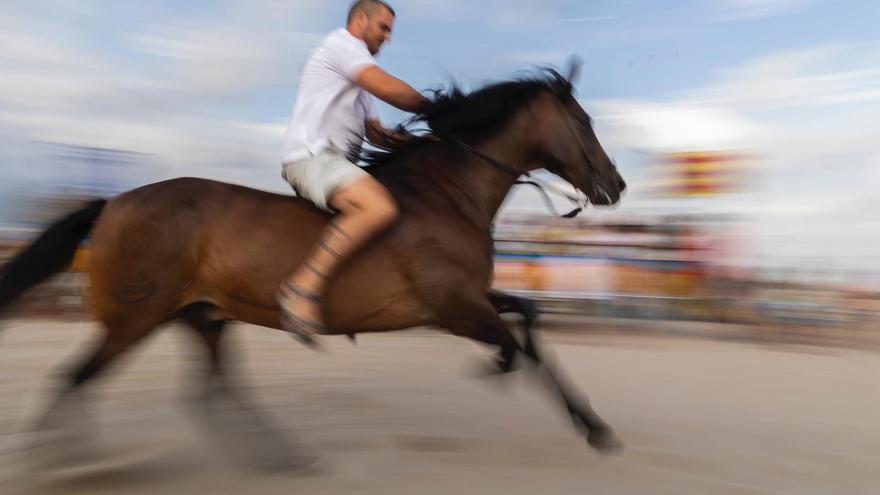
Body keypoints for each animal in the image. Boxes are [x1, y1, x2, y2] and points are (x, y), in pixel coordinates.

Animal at [1, 67, 632, 462]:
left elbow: (530, 320)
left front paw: (592, 425)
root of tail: (113, 203)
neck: (448, 194)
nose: (617, 185)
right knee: (75, 379)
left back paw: (277, 457)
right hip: (134, 319)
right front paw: (509, 377)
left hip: (202, 316)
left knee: (211, 393)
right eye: (583, 121)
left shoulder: (468, 301)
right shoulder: (456, 308)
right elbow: (519, 347)